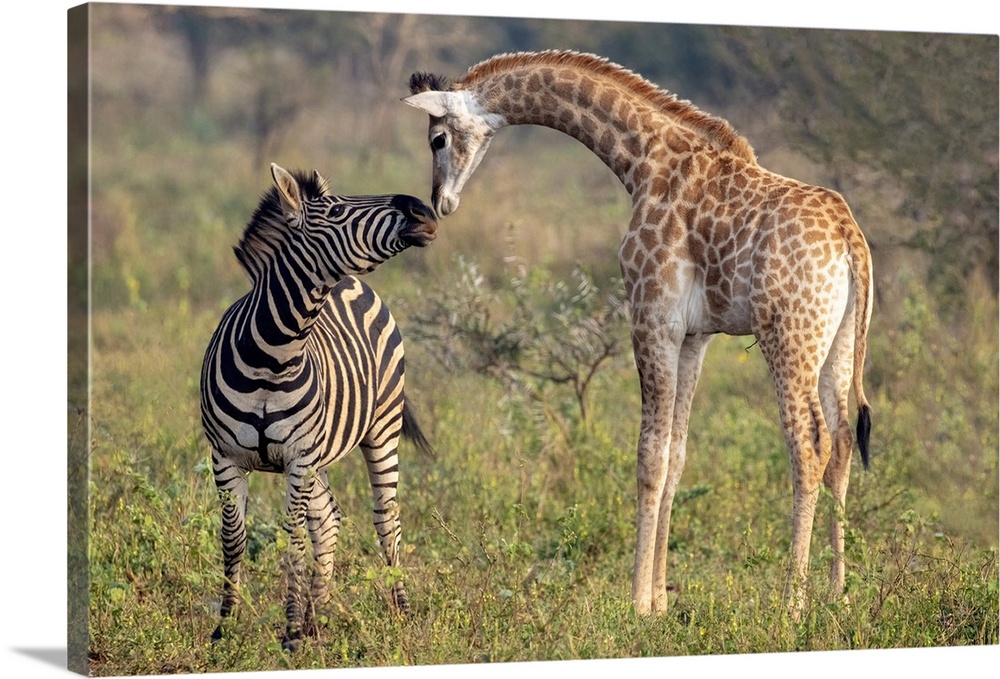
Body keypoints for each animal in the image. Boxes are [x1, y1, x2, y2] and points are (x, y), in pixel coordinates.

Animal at [200, 163, 437, 651]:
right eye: (336, 210)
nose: (423, 210)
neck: (273, 355)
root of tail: (350, 281)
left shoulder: (297, 458)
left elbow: (292, 541)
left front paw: (289, 631)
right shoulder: (225, 457)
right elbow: (234, 538)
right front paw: (226, 627)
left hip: (381, 429)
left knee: (387, 519)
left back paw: (398, 610)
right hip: (321, 455)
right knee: (328, 521)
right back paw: (317, 617)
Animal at [403, 50, 873, 618]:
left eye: (437, 139)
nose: (440, 203)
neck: (642, 160)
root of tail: (851, 240)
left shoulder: (651, 316)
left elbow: (649, 458)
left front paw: (636, 605)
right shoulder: (694, 336)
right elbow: (677, 456)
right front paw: (661, 600)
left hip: (789, 337)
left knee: (809, 444)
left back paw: (791, 604)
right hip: (838, 344)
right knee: (843, 442)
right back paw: (837, 594)